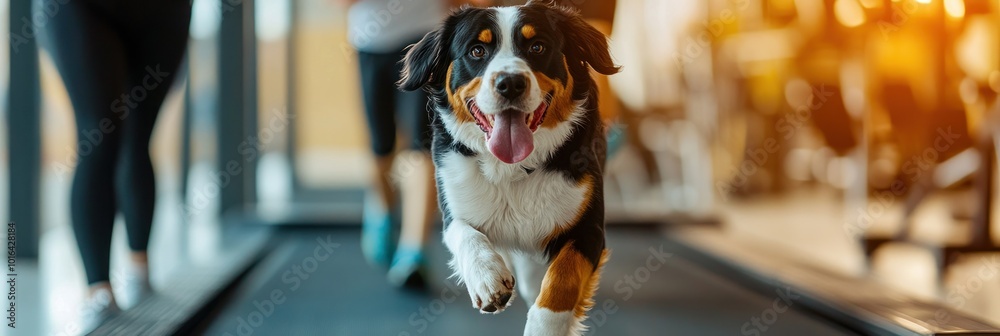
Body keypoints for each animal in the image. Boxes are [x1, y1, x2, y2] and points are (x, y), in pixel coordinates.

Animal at [396, 1, 616, 334]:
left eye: (537, 46)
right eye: (477, 51)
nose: (510, 83)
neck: (511, 168)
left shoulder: (587, 229)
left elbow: (562, 280)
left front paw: (544, 327)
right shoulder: (453, 202)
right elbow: (466, 234)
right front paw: (487, 278)